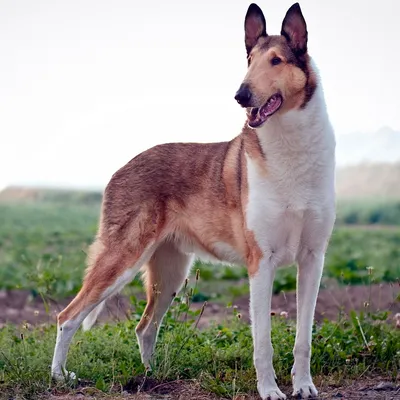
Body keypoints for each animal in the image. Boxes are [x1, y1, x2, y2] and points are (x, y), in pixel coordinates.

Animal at [52, 3, 334, 400]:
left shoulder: (312, 259)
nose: (241, 95)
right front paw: (269, 390)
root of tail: (119, 169)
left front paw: (304, 386)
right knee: (68, 316)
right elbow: (263, 342)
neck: (290, 149)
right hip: (123, 257)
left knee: (144, 326)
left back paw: (150, 377)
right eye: (249, 61)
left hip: (170, 272)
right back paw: (61, 377)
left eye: (276, 61)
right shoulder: (261, 262)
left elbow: (303, 337)